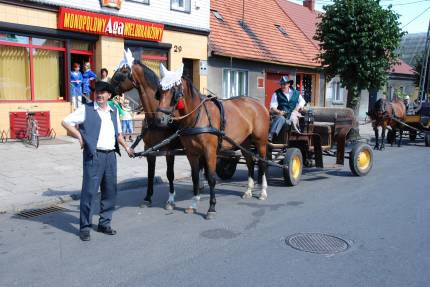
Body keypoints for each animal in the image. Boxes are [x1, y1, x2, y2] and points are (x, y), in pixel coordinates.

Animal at [109, 61, 181, 209]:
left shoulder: (170, 150)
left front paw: (171, 199)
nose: (106, 88)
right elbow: (150, 174)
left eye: (122, 73)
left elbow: (170, 174)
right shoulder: (149, 149)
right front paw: (148, 198)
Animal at [155, 75, 268, 219]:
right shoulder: (191, 153)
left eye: (175, 92)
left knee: (262, 164)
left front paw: (211, 208)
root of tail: (259, 104)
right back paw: (248, 190)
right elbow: (195, 178)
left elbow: (211, 178)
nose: (159, 119)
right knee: (250, 163)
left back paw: (263, 192)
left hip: (261, 142)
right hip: (245, 143)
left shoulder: (210, 152)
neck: (198, 116)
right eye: (159, 92)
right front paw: (193, 205)